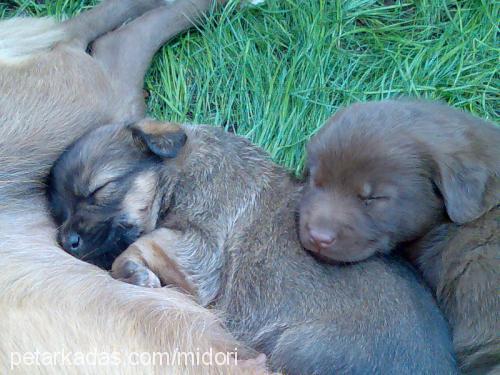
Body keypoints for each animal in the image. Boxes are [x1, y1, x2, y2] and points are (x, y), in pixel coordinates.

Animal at [48, 119, 458, 375]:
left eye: (99, 190)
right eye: (59, 213)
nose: (65, 241)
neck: (180, 169)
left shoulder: (200, 247)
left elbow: (139, 246)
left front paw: (135, 273)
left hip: (296, 347)